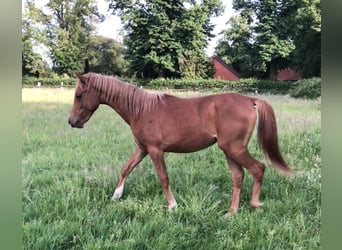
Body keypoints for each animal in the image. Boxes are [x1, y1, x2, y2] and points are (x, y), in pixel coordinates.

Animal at [68, 72, 292, 215]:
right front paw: (116, 196)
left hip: (234, 148)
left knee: (258, 168)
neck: (140, 109)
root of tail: (250, 100)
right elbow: (126, 168)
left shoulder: (155, 150)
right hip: (230, 150)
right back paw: (231, 212)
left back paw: (254, 204)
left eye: (79, 95)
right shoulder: (142, 149)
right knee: (238, 177)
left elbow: (163, 178)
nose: (72, 122)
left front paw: (172, 206)